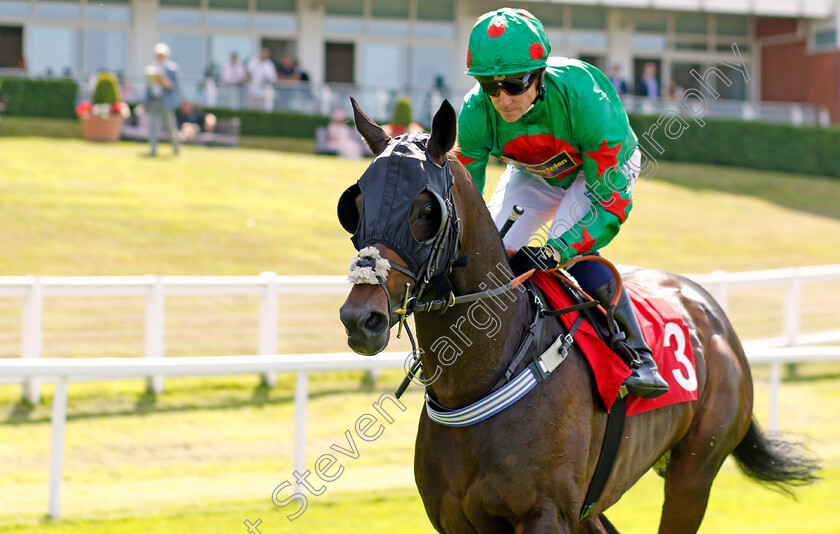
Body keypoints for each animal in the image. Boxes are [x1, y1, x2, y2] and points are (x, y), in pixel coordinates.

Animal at [336, 98, 820, 532]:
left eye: (425, 210)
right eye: (355, 207)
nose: (361, 319)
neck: (482, 377)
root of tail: (712, 312)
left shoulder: (545, 514)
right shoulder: (455, 519)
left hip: (695, 472)